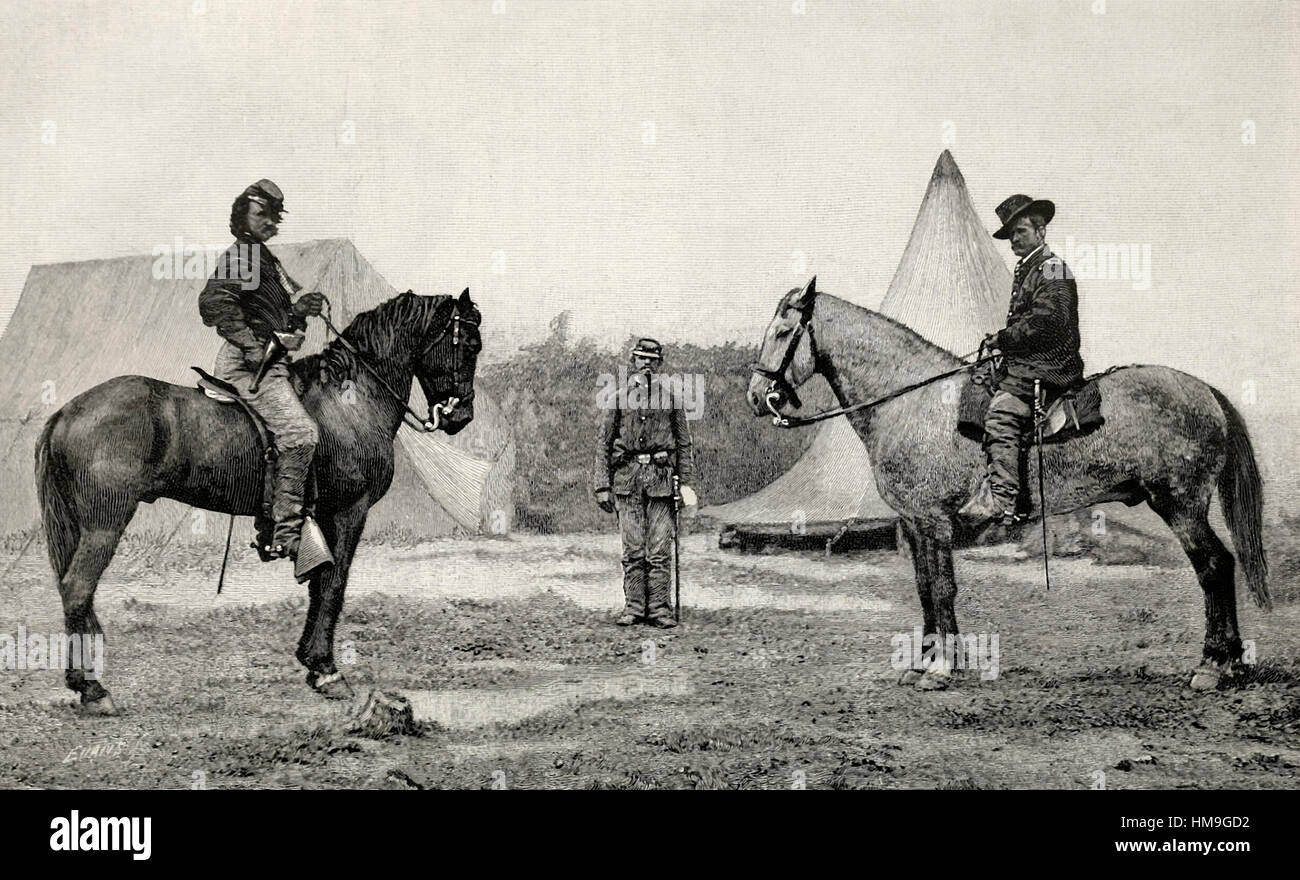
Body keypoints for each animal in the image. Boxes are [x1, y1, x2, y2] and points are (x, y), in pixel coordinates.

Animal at [38, 289, 483, 712]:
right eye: (469, 345)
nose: (461, 417)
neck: (349, 399)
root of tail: (66, 412)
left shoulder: (323, 518)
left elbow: (318, 586)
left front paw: (311, 663)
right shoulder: (347, 512)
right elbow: (333, 586)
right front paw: (327, 670)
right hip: (105, 523)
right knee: (77, 587)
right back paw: (93, 690)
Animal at [754, 278, 1268, 691]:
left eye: (782, 331)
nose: (759, 398)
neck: (911, 402)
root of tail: (1205, 391)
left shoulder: (934, 520)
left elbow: (942, 588)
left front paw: (941, 669)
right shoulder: (915, 522)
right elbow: (923, 588)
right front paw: (923, 663)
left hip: (1181, 505)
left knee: (1214, 566)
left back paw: (1212, 666)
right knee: (1219, 565)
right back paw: (1230, 664)